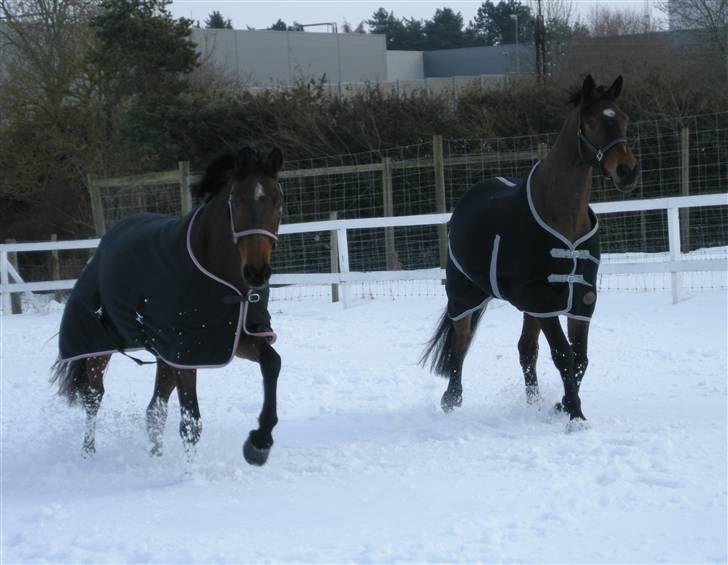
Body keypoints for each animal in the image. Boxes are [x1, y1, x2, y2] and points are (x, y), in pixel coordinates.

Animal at [51, 147, 282, 468]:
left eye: (277, 199)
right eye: (236, 200)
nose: (257, 272)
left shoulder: (236, 338)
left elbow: (273, 364)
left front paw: (259, 443)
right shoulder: (187, 353)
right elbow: (191, 422)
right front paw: (189, 473)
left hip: (163, 356)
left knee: (154, 410)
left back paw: (154, 456)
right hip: (98, 349)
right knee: (94, 398)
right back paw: (88, 455)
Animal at [418, 74, 640, 418]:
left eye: (624, 118)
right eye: (591, 122)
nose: (626, 171)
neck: (562, 216)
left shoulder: (582, 300)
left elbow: (579, 358)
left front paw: (563, 405)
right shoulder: (543, 301)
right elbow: (564, 355)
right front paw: (575, 414)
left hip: (525, 307)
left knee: (526, 349)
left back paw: (533, 403)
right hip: (464, 296)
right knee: (460, 344)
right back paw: (451, 398)